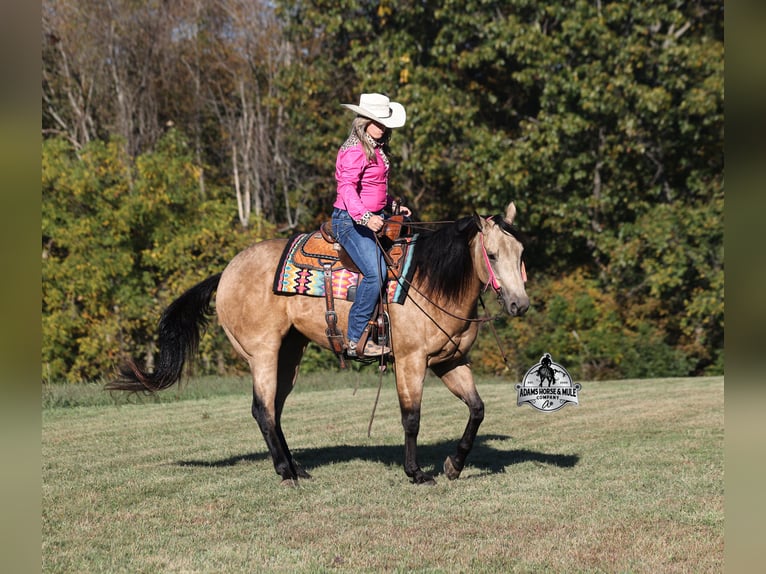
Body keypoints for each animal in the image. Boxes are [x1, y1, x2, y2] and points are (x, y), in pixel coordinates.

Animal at [107, 201, 529, 485]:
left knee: (274, 410)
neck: (429, 282)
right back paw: (286, 473)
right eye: (492, 255)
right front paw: (415, 473)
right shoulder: (411, 361)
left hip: (289, 354)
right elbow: (411, 418)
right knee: (262, 410)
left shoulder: (450, 361)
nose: (519, 304)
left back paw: (295, 467)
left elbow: (477, 409)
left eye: (521, 253)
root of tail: (225, 272)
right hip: (262, 353)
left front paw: (453, 466)